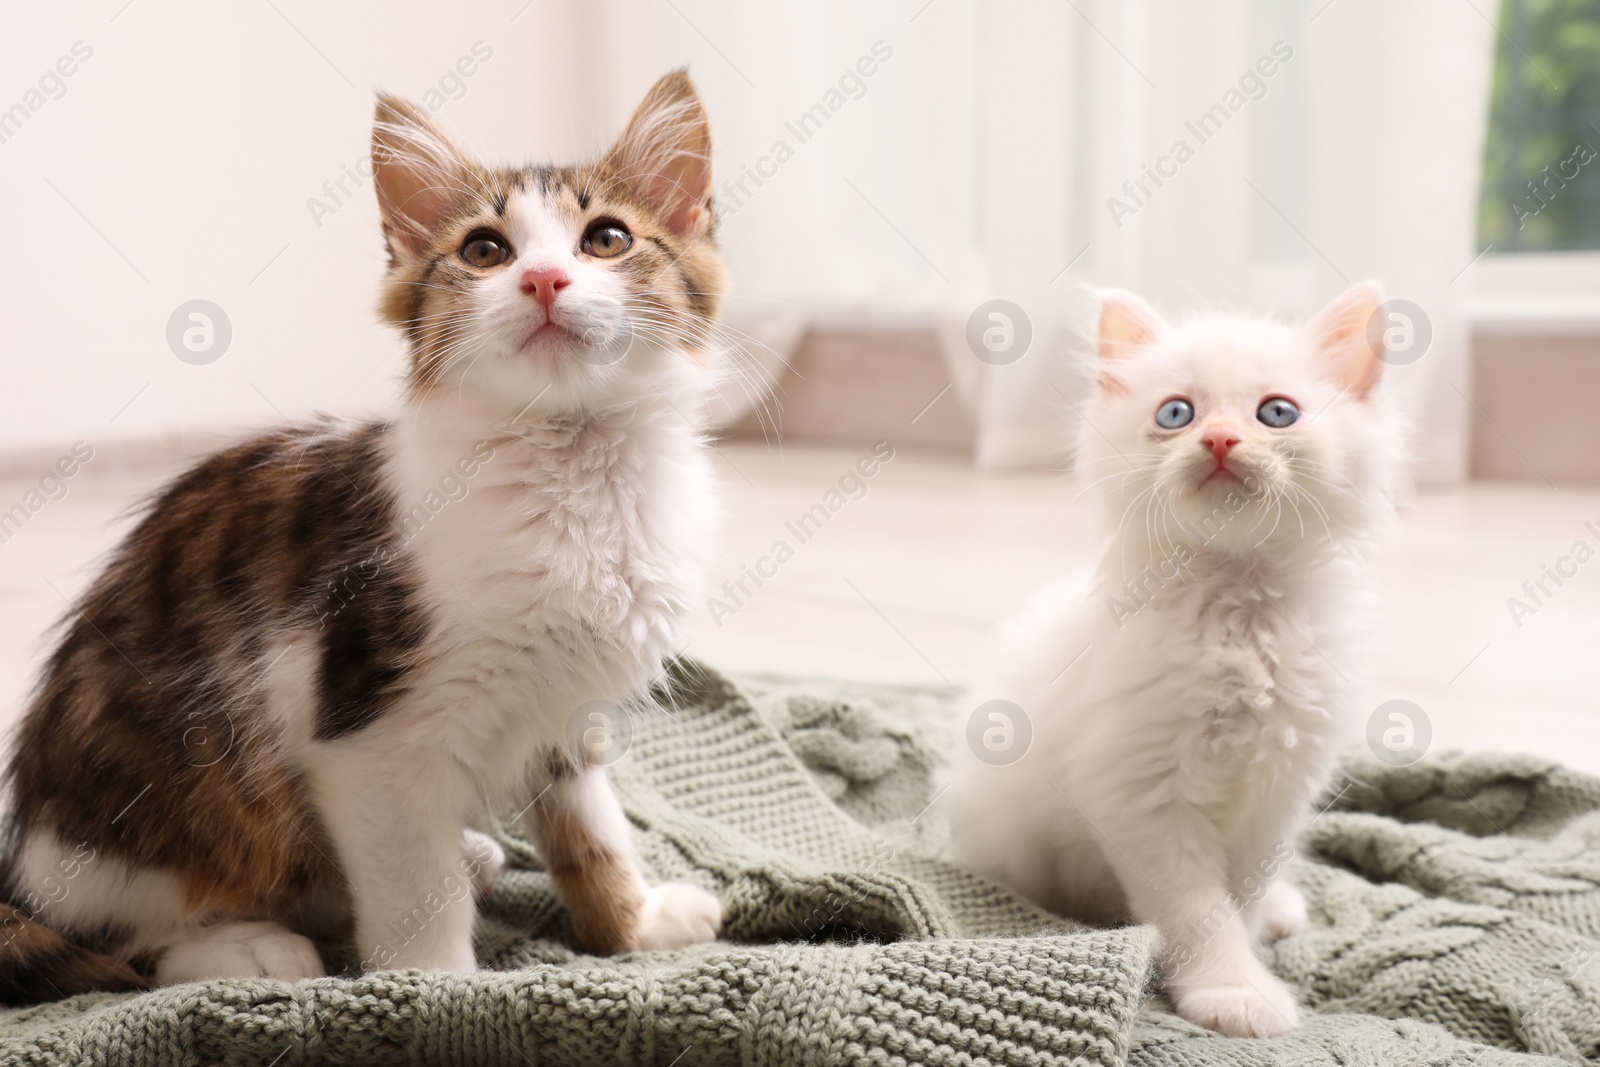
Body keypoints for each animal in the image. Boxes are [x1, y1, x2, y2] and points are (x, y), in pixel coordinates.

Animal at [0, 73, 732, 1004]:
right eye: (485, 251)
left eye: (607, 239)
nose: (544, 279)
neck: (572, 468)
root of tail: (21, 858)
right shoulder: (366, 729)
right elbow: (415, 880)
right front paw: (434, 992)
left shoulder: (572, 711)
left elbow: (593, 828)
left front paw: (633, 925)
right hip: (169, 790)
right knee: (120, 941)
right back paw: (247, 946)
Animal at [947, 281, 1401, 1036]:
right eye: (1177, 413)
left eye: (1276, 413)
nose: (1219, 439)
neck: (1240, 611)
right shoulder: (1144, 794)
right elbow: (1199, 910)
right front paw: (1233, 990)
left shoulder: (1277, 788)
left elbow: (1241, 895)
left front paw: (1248, 955)